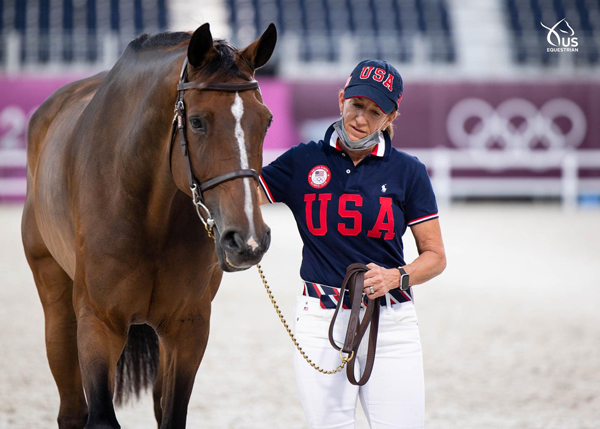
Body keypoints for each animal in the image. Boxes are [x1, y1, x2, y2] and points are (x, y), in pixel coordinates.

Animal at [22, 23, 276, 428]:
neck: (147, 212)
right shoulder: (98, 324)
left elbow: (172, 415)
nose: (247, 240)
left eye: (266, 121)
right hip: (57, 308)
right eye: (196, 121)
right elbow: (101, 416)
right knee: (72, 410)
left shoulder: (188, 329)